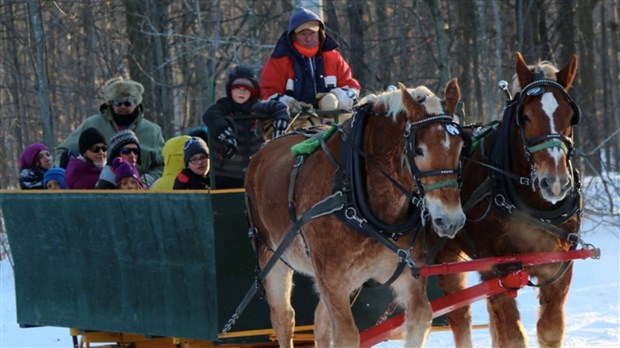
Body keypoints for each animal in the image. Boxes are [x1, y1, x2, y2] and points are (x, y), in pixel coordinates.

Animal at [245, 80, 468, 346]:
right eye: (419, 150)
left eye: (460, 147)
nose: (451, 220)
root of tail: (261, 151)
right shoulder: (332, 279)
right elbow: (347, 336)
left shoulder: (405, 273)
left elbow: (421, 316)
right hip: (272, 257)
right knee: (284, 318)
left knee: (320, 323)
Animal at [438, 52, 584, 348]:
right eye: (525, 116)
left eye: (570, 116)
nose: (555, 182)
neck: (534, 208)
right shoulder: (499, 269)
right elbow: (513, 336)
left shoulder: (560, 267)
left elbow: (550, 331)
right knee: (460, 316)